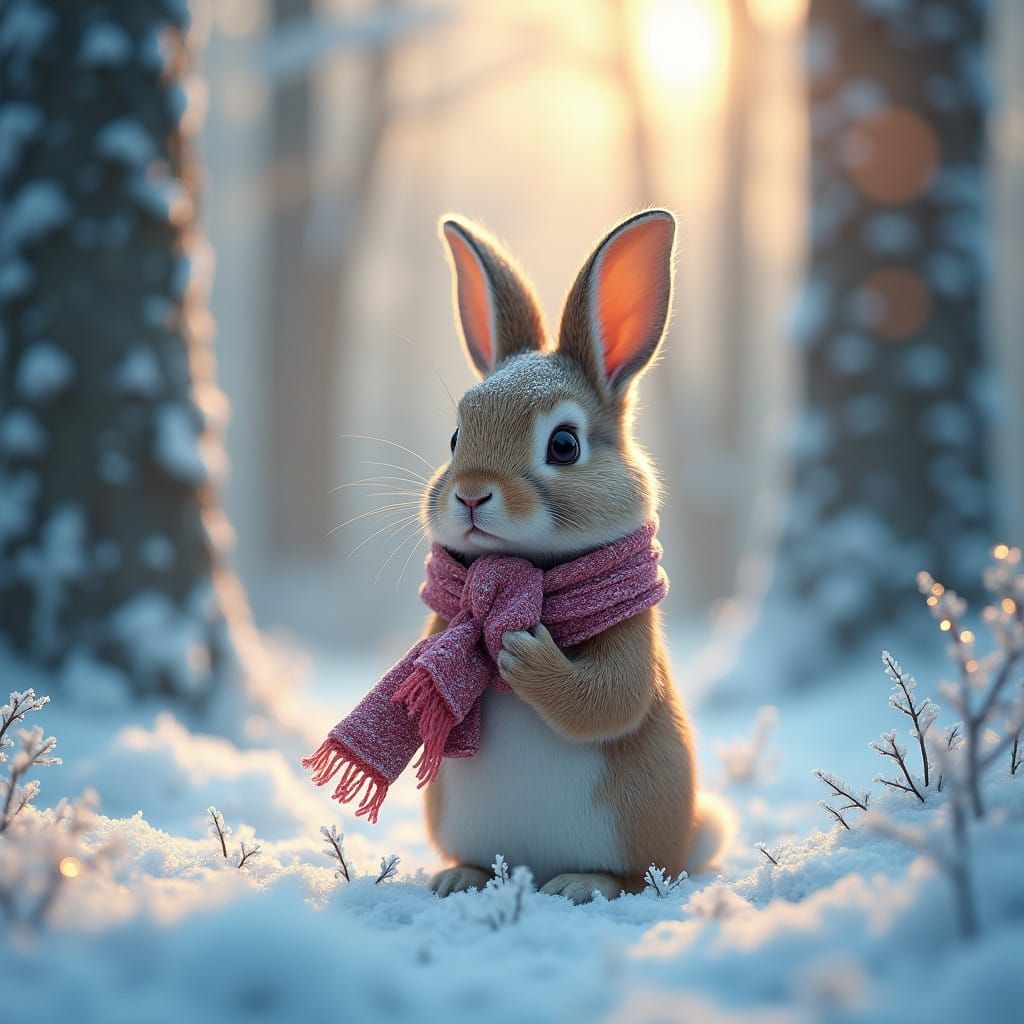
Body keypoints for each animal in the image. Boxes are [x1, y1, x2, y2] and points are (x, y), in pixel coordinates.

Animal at [419, 209, 733, 903]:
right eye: (455, 437)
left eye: (564, 445)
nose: (471, 493)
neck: (527, 570)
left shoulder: (631, 635)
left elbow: (611, 698)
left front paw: (521, 654)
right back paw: (459, 877)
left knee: (633, 877)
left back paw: (579, 884)